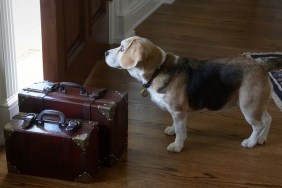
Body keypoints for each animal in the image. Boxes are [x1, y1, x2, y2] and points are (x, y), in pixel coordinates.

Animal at [104, 36, 282, 152]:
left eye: (122, 49)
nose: (105, 52)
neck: (158, 69)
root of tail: (261, 65)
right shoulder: (177, 112)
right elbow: (177, 126)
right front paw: (173, 130)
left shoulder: (178, 111)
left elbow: (181, 131)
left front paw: (177, 145)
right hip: (256, 104)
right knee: (267, 120)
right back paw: (261, 139)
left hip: (248, 106)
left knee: (258, 125)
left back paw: (251, 142)